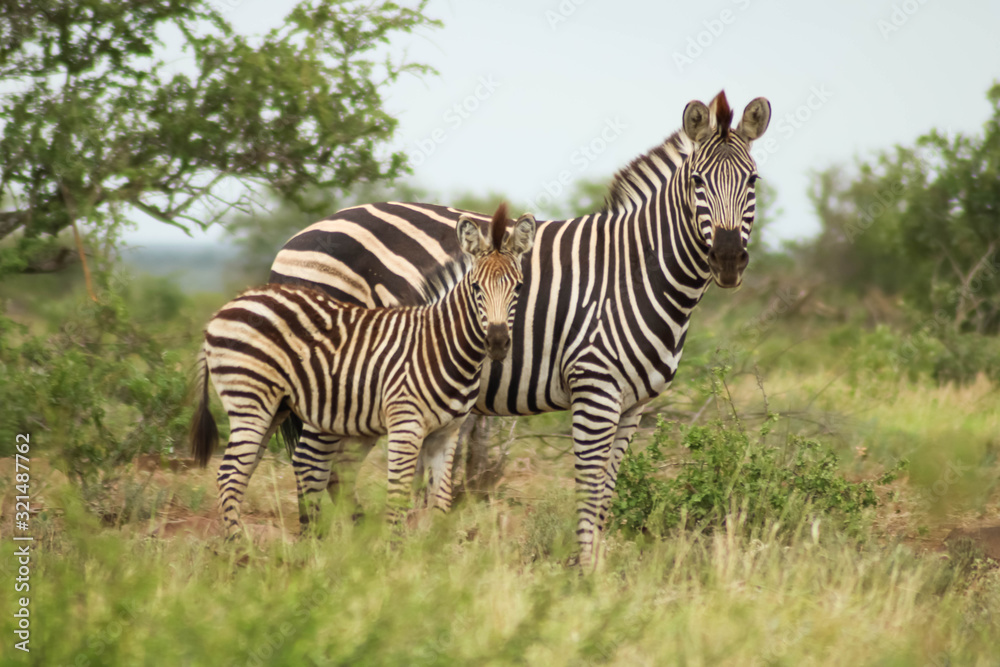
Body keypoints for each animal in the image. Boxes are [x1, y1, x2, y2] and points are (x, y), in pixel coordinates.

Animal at [190, 204, 537, 538]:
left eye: (520, 288)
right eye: (476, 288)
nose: (497, 342)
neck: (439, 345)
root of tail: (224, 309)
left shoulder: (446, 433)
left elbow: (440, 503)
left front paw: (432, 553)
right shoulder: (405, 425)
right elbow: (398, 499)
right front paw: (394, 552)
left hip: (275, 407)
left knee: (245, 471)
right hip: (252, 400)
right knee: (233, 474)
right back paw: (241, 548)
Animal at [268, 91, 771, 567]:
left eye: (753, 181)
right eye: (697, 182)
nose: (728, 258)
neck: (637, 272)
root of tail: (296, 239)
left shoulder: (634, 404)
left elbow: (607, 492)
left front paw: (596, 568)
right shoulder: (595, 388)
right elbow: (589, 488)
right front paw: (585, 574)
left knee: (339, 469)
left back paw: (350, 548)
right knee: (311, 462)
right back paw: (317, 552)